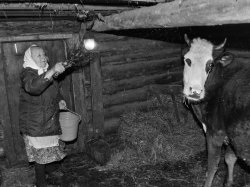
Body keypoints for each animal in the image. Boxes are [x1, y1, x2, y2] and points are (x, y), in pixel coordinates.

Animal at [183, 34, 250, 187]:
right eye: (187, 60)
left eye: (210, 65)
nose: (195, 92)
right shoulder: (232, 132)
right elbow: (230, 158)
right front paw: (228, 182)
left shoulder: (215, 131)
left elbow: (212, 165)